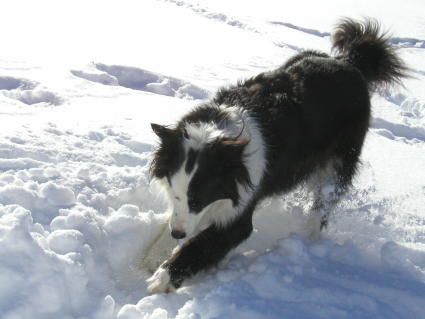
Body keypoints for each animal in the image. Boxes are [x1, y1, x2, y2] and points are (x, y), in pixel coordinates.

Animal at [146, 18, 404, 296]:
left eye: (198, 200)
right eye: (175, 194)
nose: (177, 234)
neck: (219, 136)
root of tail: (350, 63)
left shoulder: (241, 203)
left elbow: (208, 241)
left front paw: (161, 279)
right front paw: (151, 257)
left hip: (342, 155)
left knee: (326, 199)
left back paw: (308, 240)